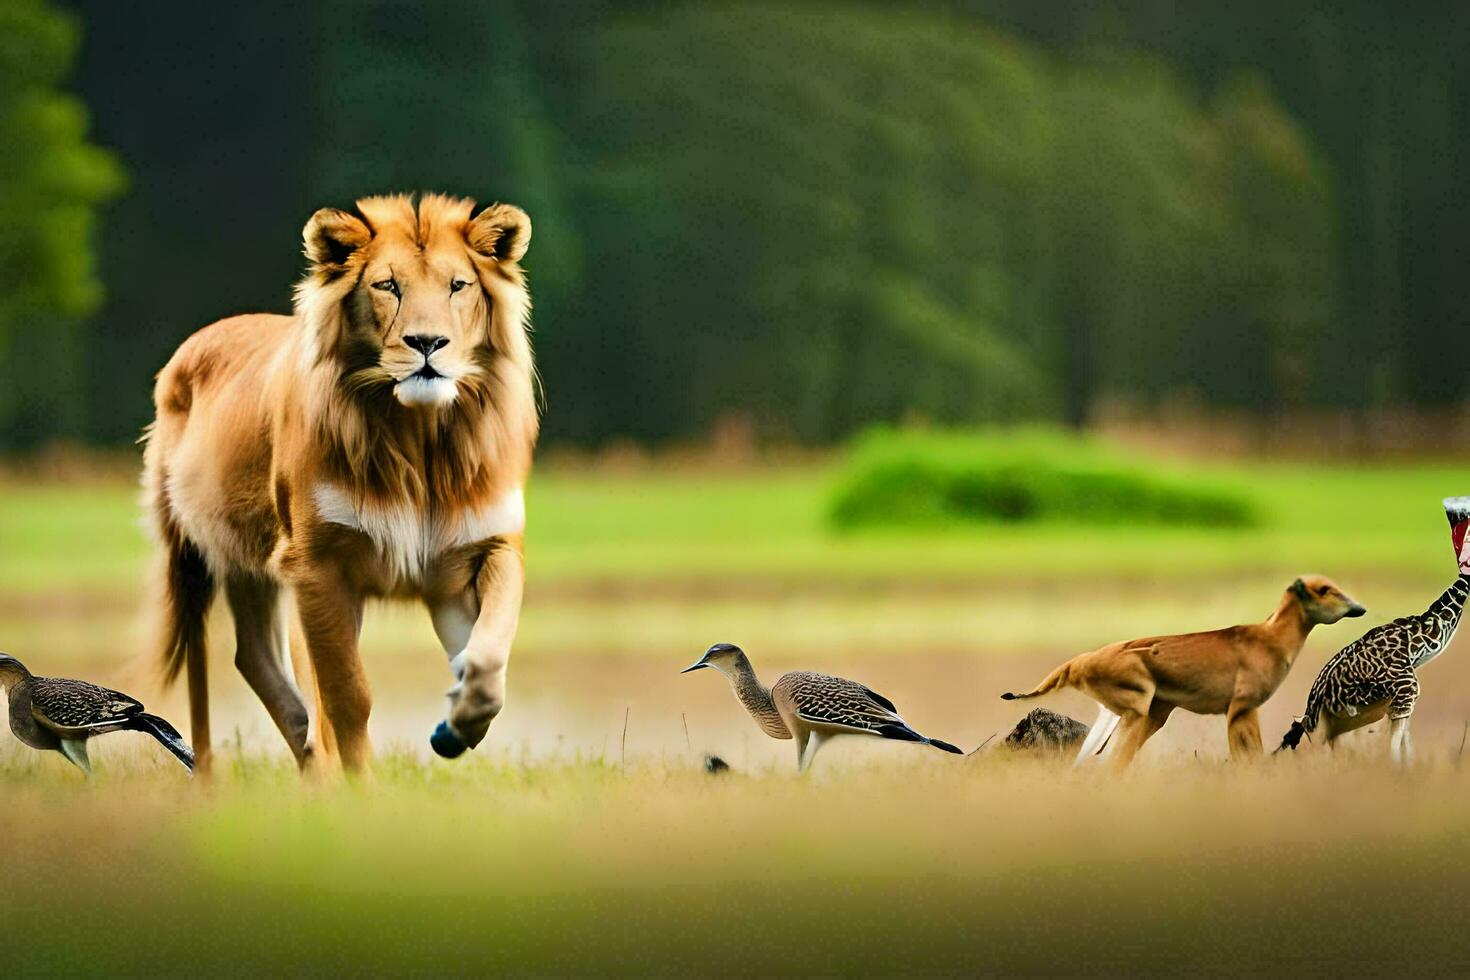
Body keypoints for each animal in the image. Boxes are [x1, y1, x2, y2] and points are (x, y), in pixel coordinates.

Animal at [138, 193, 535, 775]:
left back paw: (308, 757)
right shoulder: (318, 563)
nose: (427, 343)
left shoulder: (480, 551)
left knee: (254, 656)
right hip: (199, 555)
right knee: (216, 675)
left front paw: (455, 730)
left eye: (457, 286)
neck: (419, 441)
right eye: (387, 285)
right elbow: (348, 696)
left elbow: (485, 663)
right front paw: (362, 786)